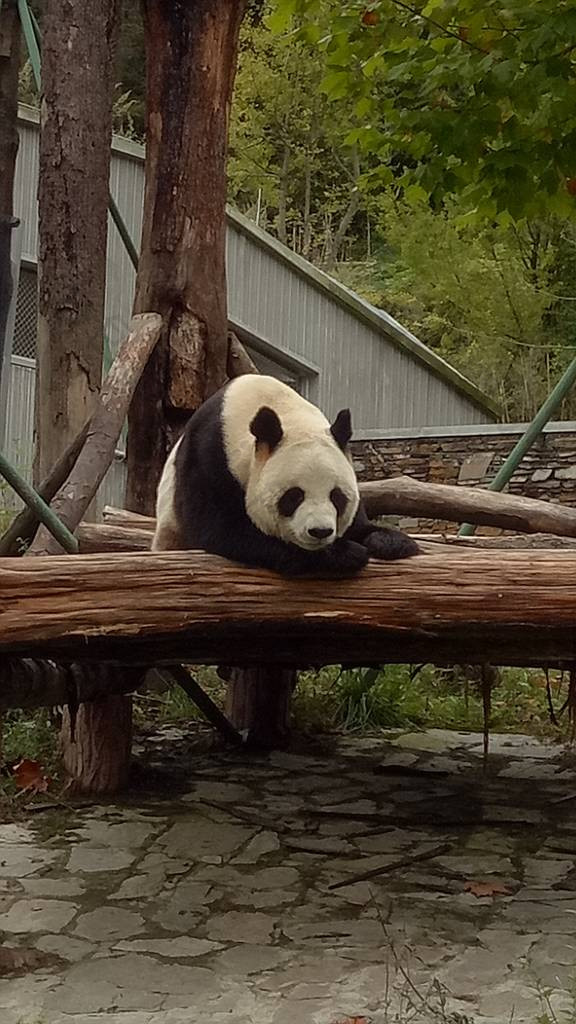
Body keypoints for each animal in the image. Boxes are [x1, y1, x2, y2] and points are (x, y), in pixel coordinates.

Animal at [151, 372, 416, 577]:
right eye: (294, 496)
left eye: (337, 496)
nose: (320, 532)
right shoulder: (209, 455)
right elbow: (221, 529)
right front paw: (345, 554)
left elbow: (359, 524)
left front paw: (391, 542)